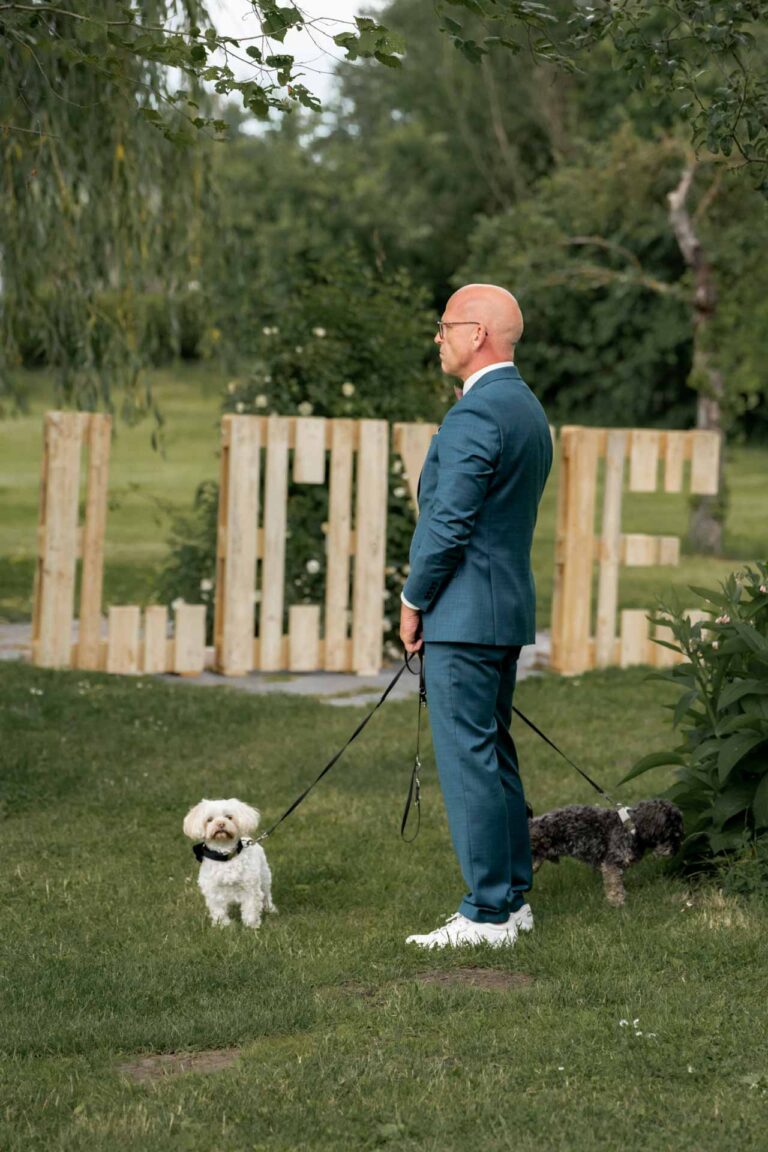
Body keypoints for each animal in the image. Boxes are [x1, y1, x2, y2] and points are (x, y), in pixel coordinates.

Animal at [529, 797, 686, 903]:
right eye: (671, 834)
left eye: (679, 833)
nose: (676, 850)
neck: (632, 829)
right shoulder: (611, 864)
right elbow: (614, 885)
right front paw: (618, 902)